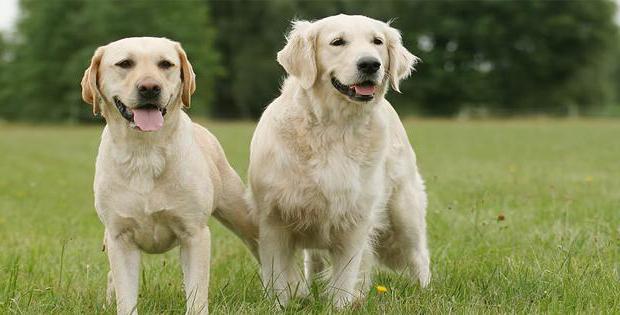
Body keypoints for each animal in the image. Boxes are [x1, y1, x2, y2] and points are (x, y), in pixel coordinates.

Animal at [81, 37, 256, 315]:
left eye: (165, 64)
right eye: (124, 63)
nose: (150, 88)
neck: (144, 153)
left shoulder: (194, 234)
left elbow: (197, 296)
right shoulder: (120, 238)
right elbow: (125, 296)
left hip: (240, 213)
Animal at [247, 14, 432, 308]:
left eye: (377, 41)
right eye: (337, 42)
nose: (370, 64)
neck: (334, 129)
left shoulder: (354, 220)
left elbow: (344, 278)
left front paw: (341, 305)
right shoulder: (274, 219)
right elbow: (278, 277)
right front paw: (281, 305)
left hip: (404, 211)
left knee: (419, 256)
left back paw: (424, 292)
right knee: (314, 262)